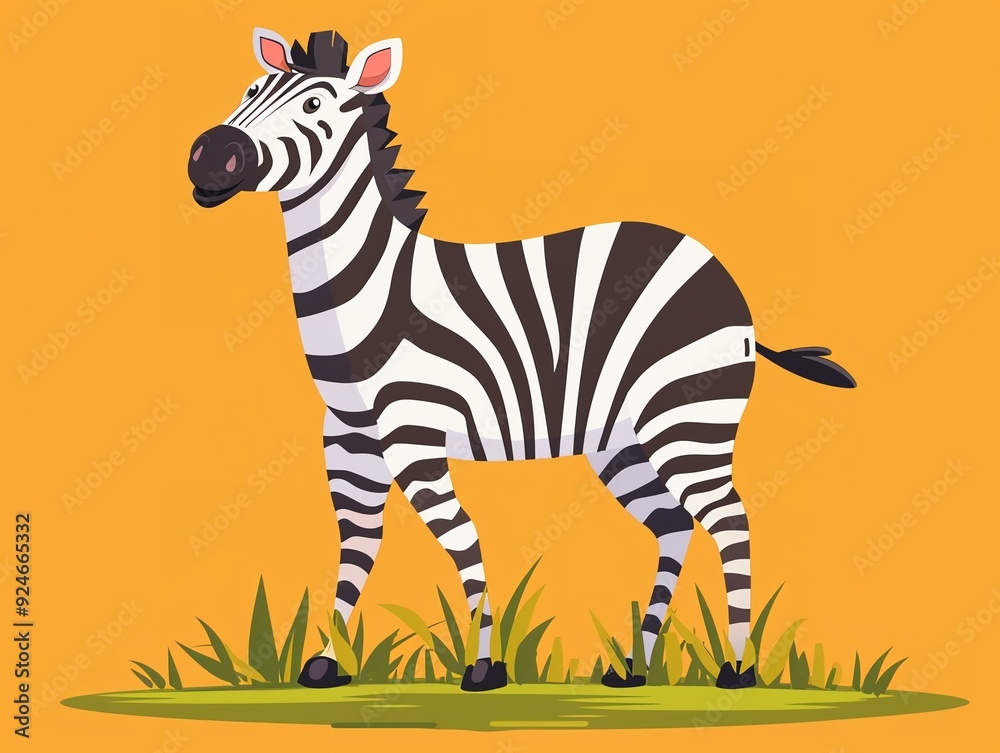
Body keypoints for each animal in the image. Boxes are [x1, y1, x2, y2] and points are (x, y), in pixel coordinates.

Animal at [187, 28, 856, 692]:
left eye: (313, 106)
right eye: (249, 90)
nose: (210, 154)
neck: (370, 290)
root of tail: (722, 276)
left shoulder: (414, 434)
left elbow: (462, 541)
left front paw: (484, 667)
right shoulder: (349, 444)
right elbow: (357, 551)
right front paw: (326, 664)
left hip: (688, 418)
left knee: (729, 523)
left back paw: (736, 669)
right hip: (621, 442)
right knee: (673, 525)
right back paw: (632, 668)